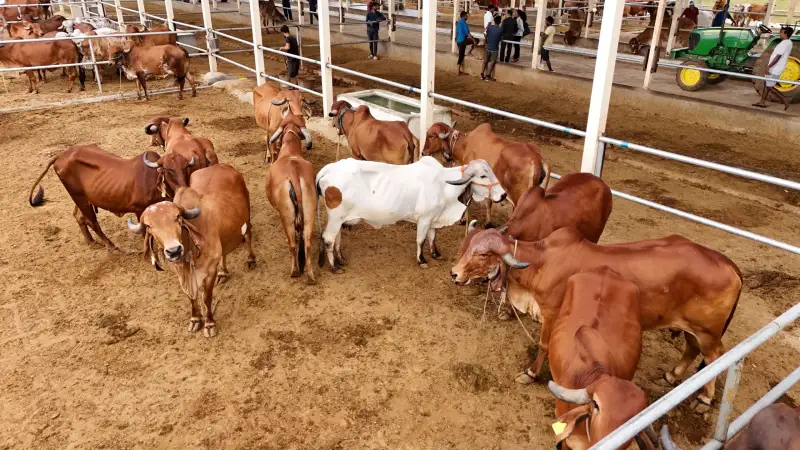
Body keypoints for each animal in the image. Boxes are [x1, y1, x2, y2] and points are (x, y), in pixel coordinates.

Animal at [26, 145, 193, 252]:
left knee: (78, 216)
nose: (183, 188)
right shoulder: (139, 210)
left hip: (83, 199)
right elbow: (145, 232)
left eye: (185, 167)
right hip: (79, 198)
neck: (153, 179)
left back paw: (91, 242)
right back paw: (112, 246)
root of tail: (61, 155)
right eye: (168, 169)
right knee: (92, 222)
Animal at [126, 164, 257, 338]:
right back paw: (223, 272)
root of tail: (223, 165)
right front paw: (195, 319)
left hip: (246, 219)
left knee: (248, 237)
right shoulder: (180, 272)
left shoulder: (209, 270)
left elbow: (206, 297)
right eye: (149, 226)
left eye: (177, 218)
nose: (174, 250)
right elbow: (191, 297)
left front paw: (209, 323)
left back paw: (251, 259)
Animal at [265, 113, 316, 283]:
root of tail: (294, 174)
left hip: (287, 217)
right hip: (310, 214)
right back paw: (310, 275)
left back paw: (294, 271)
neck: (290, 153)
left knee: (293, 243)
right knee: (307, 243)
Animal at [316, 157, 506, 272]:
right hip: (335, 217)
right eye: (483, 176)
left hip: (340, 218)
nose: (504, 195)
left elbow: (432, 236)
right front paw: (421, 260)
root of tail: (327, 169)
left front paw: (436, 253)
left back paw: (341, 259)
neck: (444, 185)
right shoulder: (424, 218)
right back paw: (334, 267)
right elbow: (421, 239)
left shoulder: (433, 218)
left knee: (337, 238)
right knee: (328, 238)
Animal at [450, 227, 742, 410]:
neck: (541, 262)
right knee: (692, 349)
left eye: (483, 254)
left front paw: (530, 373)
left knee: (715, 356)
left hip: (707, 332)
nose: (454, 274)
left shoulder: (551, 313)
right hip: (691, 328)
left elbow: (544, 346)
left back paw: (704, 401)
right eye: (466, 247)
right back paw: (670, 376)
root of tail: (729, 264)